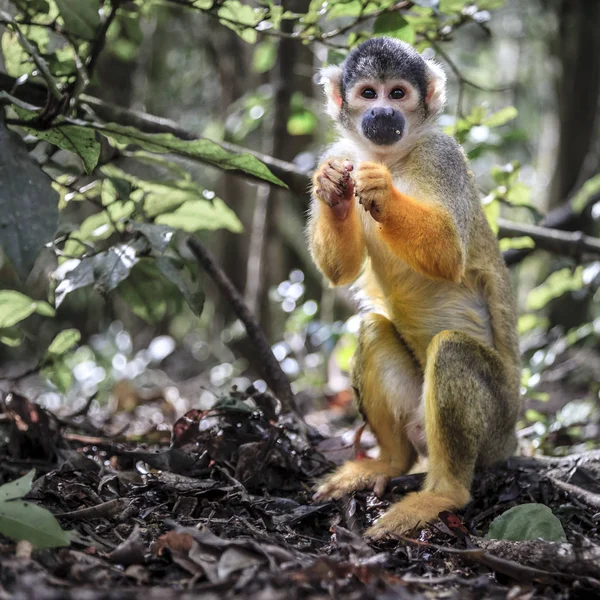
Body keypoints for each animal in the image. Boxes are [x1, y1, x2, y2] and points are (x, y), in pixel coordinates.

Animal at [310, 38, 520, 540]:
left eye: (398, 93)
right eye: (368, 93)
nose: (383, 112)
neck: (391, 157)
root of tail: (513, 440)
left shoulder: (443, 155)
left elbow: (447, 254)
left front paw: (381, 189)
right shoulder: (340, 148)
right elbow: (341, 270)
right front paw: (331, 186)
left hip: (497, 426)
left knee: (452, 350)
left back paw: (443, 494)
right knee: (371, 328)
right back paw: (388, 462)